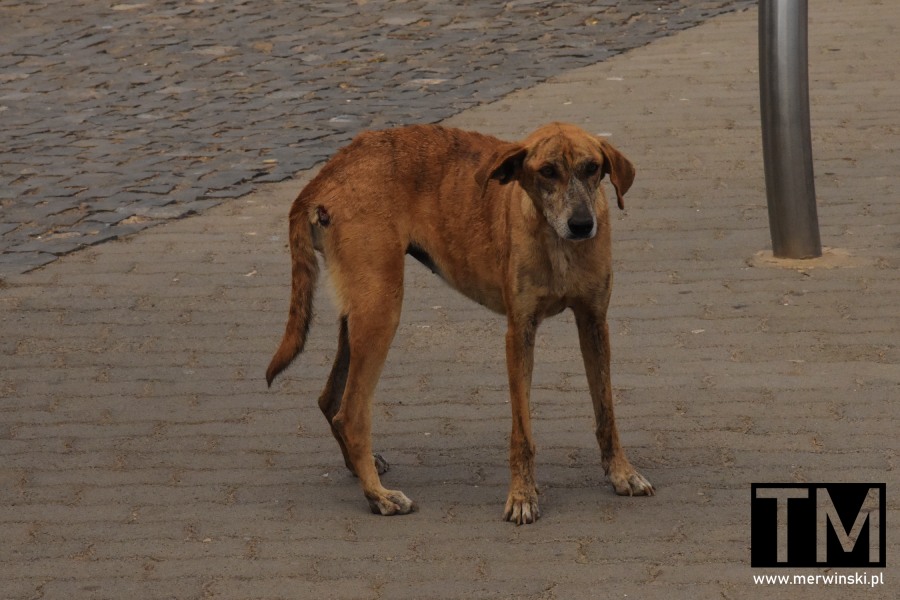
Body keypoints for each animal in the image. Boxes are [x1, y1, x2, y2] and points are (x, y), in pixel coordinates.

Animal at [268, 123, 652, 524]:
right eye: (547, 171)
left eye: (592, 167)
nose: (582, 225)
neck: (556, 243)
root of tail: (328, 171)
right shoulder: (520, 334)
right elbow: (522, 431)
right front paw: (522, 495)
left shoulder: (594, 323)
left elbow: (606, 411)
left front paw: (621, 473)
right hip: (380, 310)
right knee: (351, 413)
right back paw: (378, 495)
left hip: (357, 314)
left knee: (330, 398)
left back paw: (363, 472)